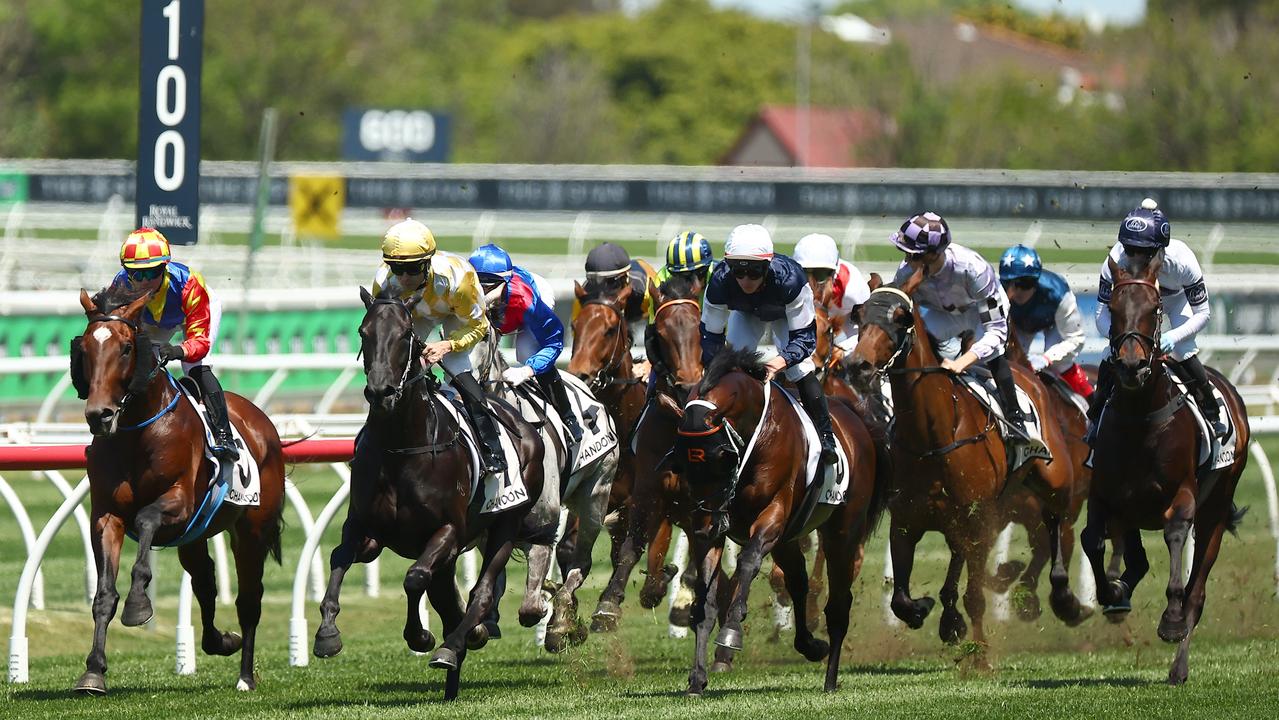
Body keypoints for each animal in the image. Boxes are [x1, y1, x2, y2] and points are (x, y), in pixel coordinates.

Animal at [73, 286, 289, 690]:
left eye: (126, 347)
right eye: (85, 348)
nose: (100, 415)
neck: (137, 433)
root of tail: (261, 421)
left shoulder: (180, 503)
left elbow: (145, 519)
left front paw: (138, 604)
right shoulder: (107, 515)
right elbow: (104, 594)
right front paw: (93, 670)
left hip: (250, 531)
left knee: (249, 599)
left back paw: (245, 677)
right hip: (194, 535)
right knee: (205, 581)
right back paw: (221, 640)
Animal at [315, 289, 549, 705]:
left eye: (405, 334)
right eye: (363, 332)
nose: (380, 392)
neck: (402, 445)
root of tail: (522, 424)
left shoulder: (447, 532)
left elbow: (414, 578)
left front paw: (421, 636)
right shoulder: (365, 528)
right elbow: (339, 557)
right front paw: (327, 634)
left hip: (505, 525)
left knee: (480, 593)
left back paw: (453, 645)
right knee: (448, 601)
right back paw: (457, 663)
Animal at [665, 350, 885, 700]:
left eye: (722, 455)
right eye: (684, 463)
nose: (709, 519)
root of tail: (857, 420)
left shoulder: (771, 518)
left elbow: (748, 562)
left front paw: (732, 631)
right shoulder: (708, 531)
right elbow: (707, 601)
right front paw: (697, 679)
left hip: (843, 532)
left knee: (838, 605)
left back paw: (830, 679)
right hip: (787, 540)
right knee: (798, 582)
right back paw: (810, 645)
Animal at [849, 271, 1089, 659]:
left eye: (901, 318)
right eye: (859, 315)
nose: (857, 366)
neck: (932, 436)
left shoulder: (977, 520)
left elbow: (974, 594)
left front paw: (979, 656)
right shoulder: (906, 521)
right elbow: (901, 599)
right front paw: (930, 611)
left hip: (1054, 483)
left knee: (1056, 526)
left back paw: (1063, 597)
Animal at [1079, 254, 1248, 685]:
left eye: (1155, 309)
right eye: (1114, 309)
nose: (1132, 366)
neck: (1141, 417)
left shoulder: (1183, 495)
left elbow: (1175, 536)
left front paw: (1170, 619)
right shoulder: (1106, 494)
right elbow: (1091, 539)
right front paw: (1112, 592)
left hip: (1215, 509)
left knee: (1197, 592)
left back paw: (1179, 666)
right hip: (1134, 510)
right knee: (1136, 558)